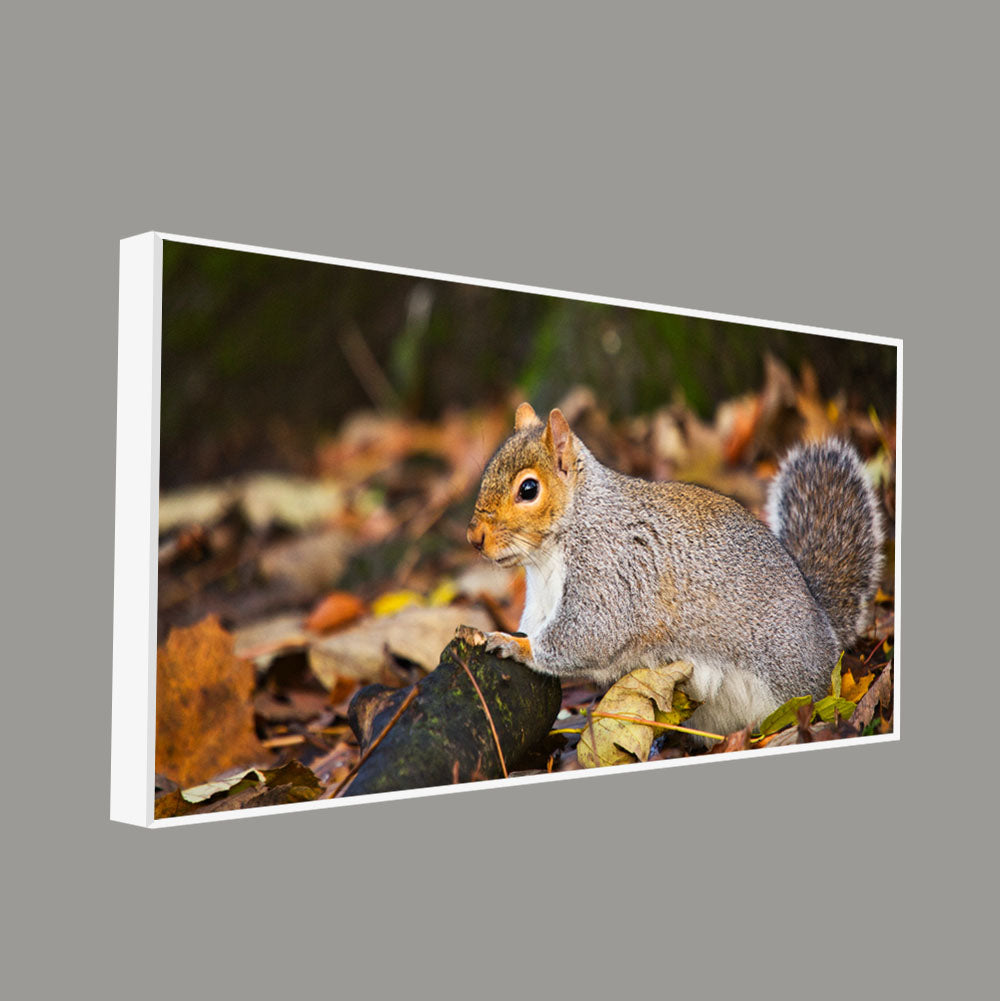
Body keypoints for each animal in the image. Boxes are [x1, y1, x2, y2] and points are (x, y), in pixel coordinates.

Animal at [466, 403, 885, 738]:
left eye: (529, 489)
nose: (474, 537)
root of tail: (826, 632)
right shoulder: (541, 601)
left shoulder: (612, 571)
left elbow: (589, 635)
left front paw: (511, 644)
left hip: (791, 679)